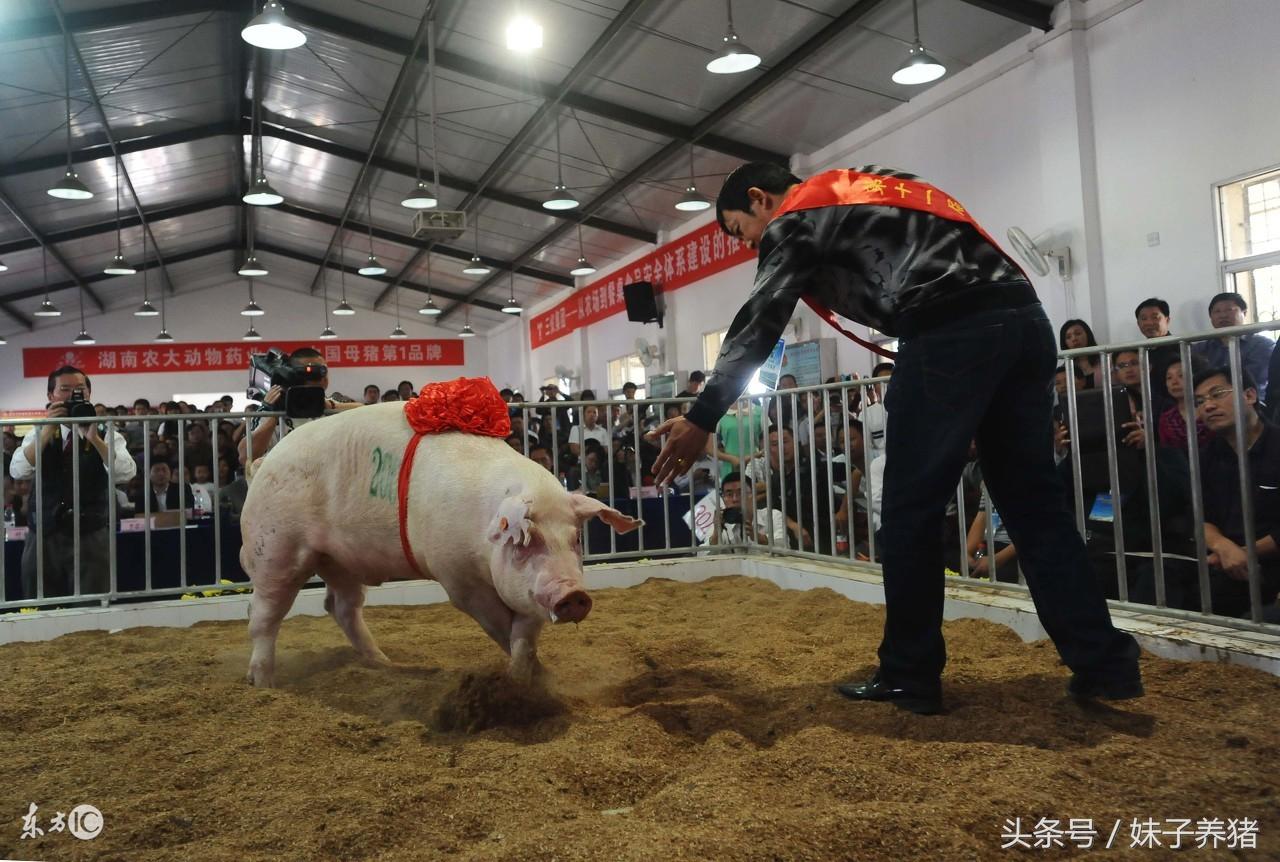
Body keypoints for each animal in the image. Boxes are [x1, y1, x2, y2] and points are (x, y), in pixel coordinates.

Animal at [239, 399, 640, 691]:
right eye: (527, 541)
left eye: (576, 539)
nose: (573, 593)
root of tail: (261, 465)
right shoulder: (458, 579)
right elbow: (498, 626)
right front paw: (520, 680)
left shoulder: (525, 592)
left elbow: (524, 635)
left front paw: (534, 676)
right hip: (276, 547)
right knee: (262, 613)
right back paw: (263, 682)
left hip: (338, 559)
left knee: (340, 606)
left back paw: (385, 663)